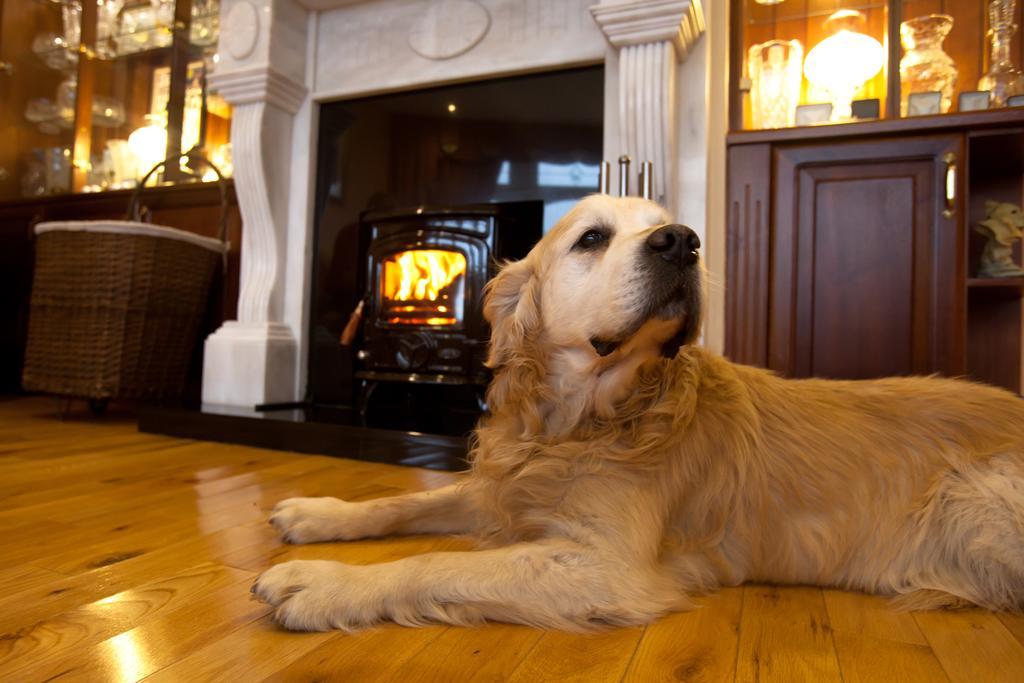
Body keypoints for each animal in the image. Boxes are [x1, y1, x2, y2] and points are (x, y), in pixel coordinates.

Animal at [253, 192, 1024, 630]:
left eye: (673, 228)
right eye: (592, 237)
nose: (682, 239)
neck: (584, 419)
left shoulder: (605, 566)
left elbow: (434, 564)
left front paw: (323, 583)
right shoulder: (506, 491)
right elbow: (410, 503)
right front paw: (319, 513)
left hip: (972, 500)